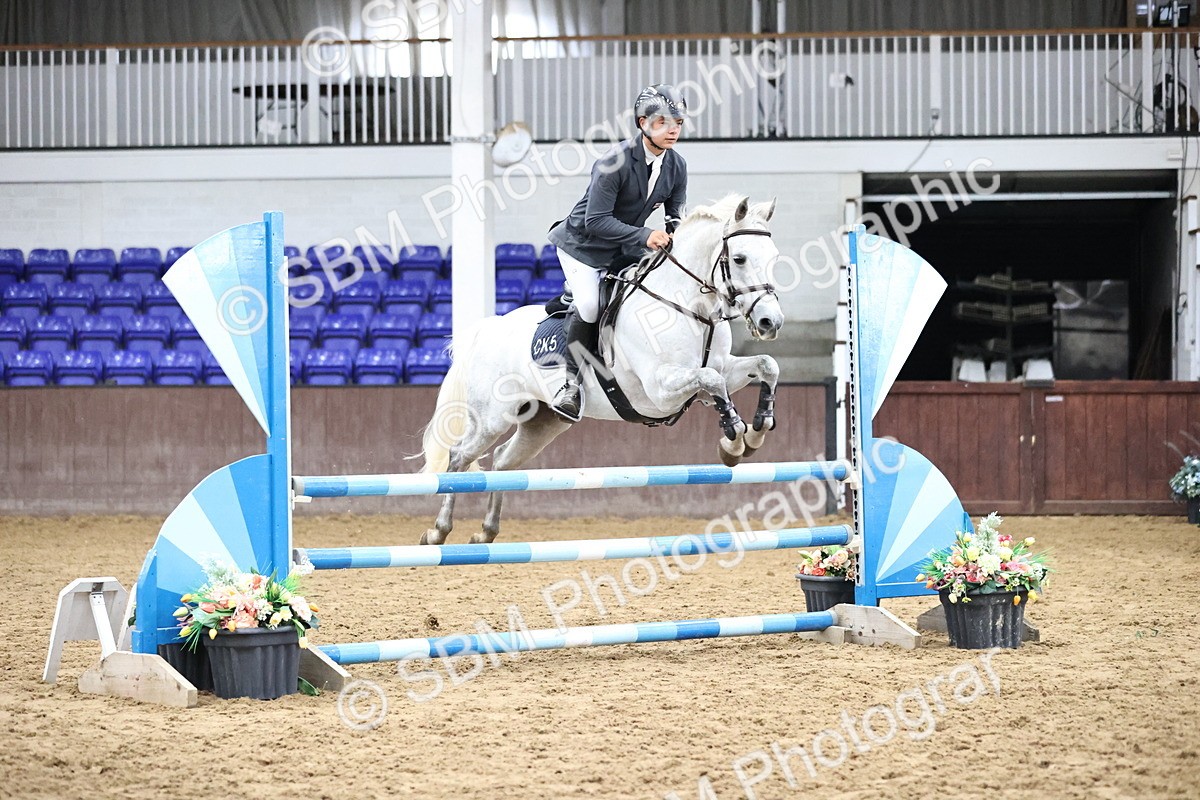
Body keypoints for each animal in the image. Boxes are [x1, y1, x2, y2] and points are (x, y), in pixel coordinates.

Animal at [417, 194, 785, 545]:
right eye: (739, 259)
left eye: (774, 257)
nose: (771, 322)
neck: (690, 308)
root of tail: (490, 327)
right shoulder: (659, 391)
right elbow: (712, 380)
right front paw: (733, 440)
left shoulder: (724, 369)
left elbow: (765, 366)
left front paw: (757, 430)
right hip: (491, 418)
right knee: (459, 456)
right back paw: (438, 531)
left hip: (543, 421)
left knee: (503, 461)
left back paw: (486, 532)